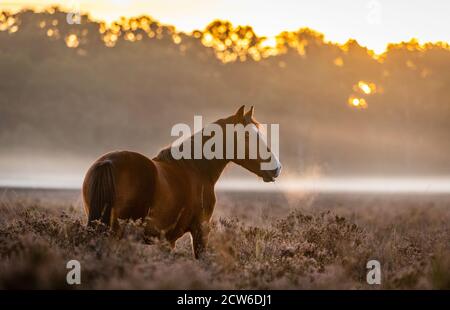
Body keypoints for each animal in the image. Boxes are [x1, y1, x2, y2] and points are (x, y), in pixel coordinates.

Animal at [83, 105, 282, 258]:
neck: (194, 168)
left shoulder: (167, 242)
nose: (276, 168)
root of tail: (107, 162)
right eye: (247, 136)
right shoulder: (200, 231)